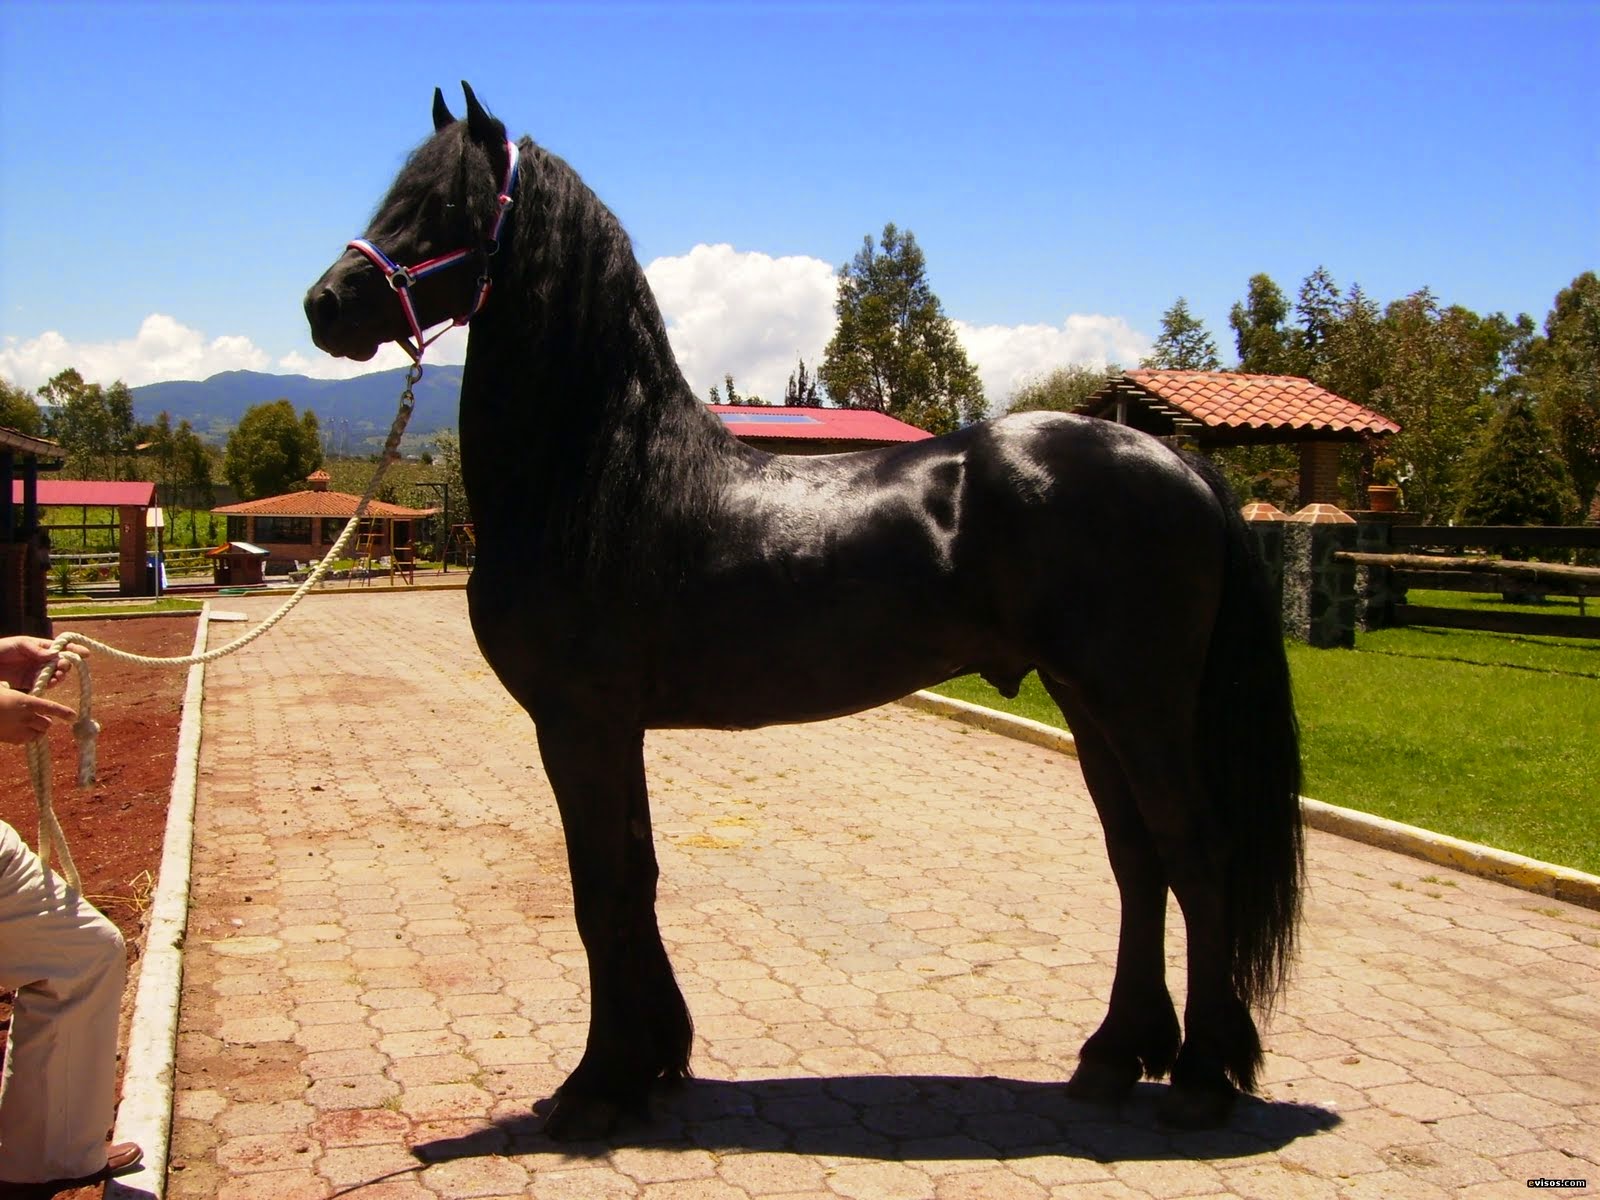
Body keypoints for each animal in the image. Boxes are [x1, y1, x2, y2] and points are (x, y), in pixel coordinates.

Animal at [305, 83, 1303, 1138]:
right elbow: (637, 876)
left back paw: (1201, 1077)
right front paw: (657, 1060)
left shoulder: (579, 724)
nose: (325, 304)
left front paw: (596, 1085)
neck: (602, 475)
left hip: (1140, 706)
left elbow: (600, 888)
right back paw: (1116, 1056)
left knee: (1196, 854)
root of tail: (1177, 461)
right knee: (1137, 860)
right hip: (1089, 703)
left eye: (446, 205)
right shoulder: (615, 729)